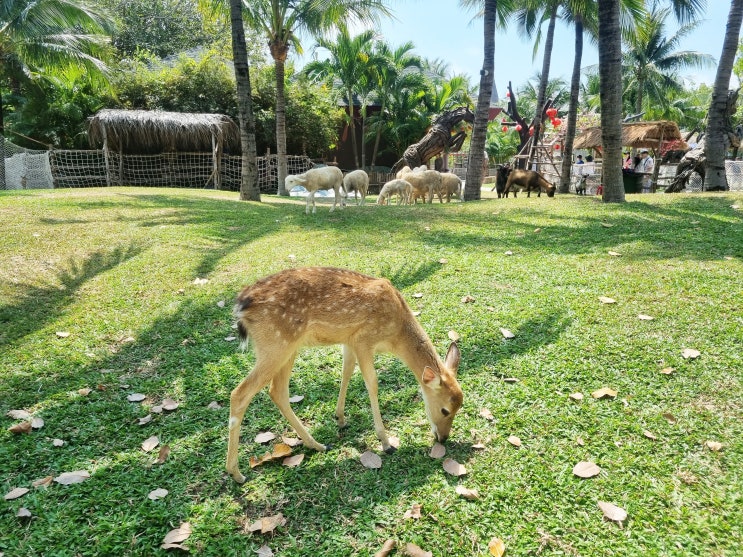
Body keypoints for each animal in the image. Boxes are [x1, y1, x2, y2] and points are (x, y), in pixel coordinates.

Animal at [225, 266, 464, 482]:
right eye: (445, 410)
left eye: (459, 408)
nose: (443, 438)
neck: (396, 335)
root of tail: (240, 307)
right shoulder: (364, 339)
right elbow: (372, 383)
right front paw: (386, 443)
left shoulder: (349, 340)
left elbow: (346, 372)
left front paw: (340, 418)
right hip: (276, 345)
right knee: (240, 393)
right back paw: (236, 473)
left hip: (288, 348)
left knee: (277, 391)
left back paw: (317, 445)